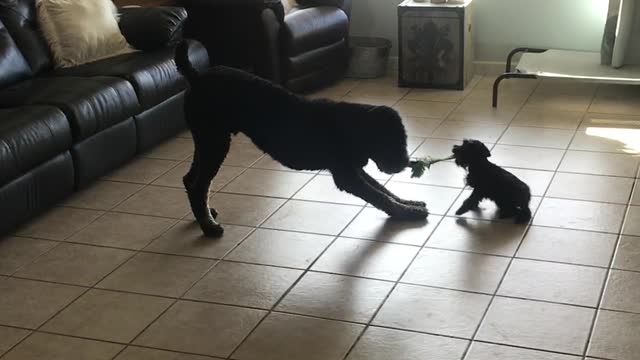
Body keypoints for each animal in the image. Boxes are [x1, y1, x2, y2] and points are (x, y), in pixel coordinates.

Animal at [174, 41, 430, 236]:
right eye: (390, 142)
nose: (403, 164)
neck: (353, 125)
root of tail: (196, 77)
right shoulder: (347, 177)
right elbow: (380, 197)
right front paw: (408, 213)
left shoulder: (354, 169)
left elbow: (385, 191)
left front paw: (408, 202)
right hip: (215, 141)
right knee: (198, 184)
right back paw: (208, 226)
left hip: (207, 139)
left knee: (190, 179)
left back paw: (205, 214)